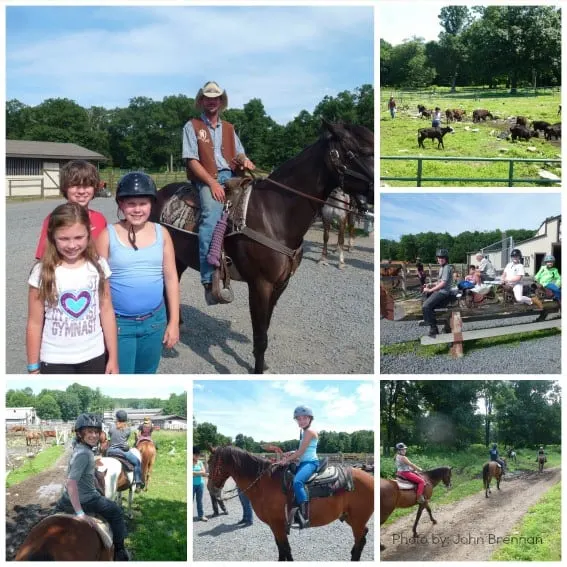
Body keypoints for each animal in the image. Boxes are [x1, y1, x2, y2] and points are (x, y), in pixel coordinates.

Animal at [151, 122, 374, 374]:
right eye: (355, 152)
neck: (275, 214)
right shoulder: (260, 285)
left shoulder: (280, 285)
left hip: (178, 259)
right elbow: (260, 335)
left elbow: (265, 328)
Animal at [206, 448, 374, 564]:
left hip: (357, 520)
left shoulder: (278, 524)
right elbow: (281, 547)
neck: (264, 484)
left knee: (360, 540)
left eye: (211, 463)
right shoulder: (275, 525)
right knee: (362, 537)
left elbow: (285, 548)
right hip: (350, 517)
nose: (210, 488)